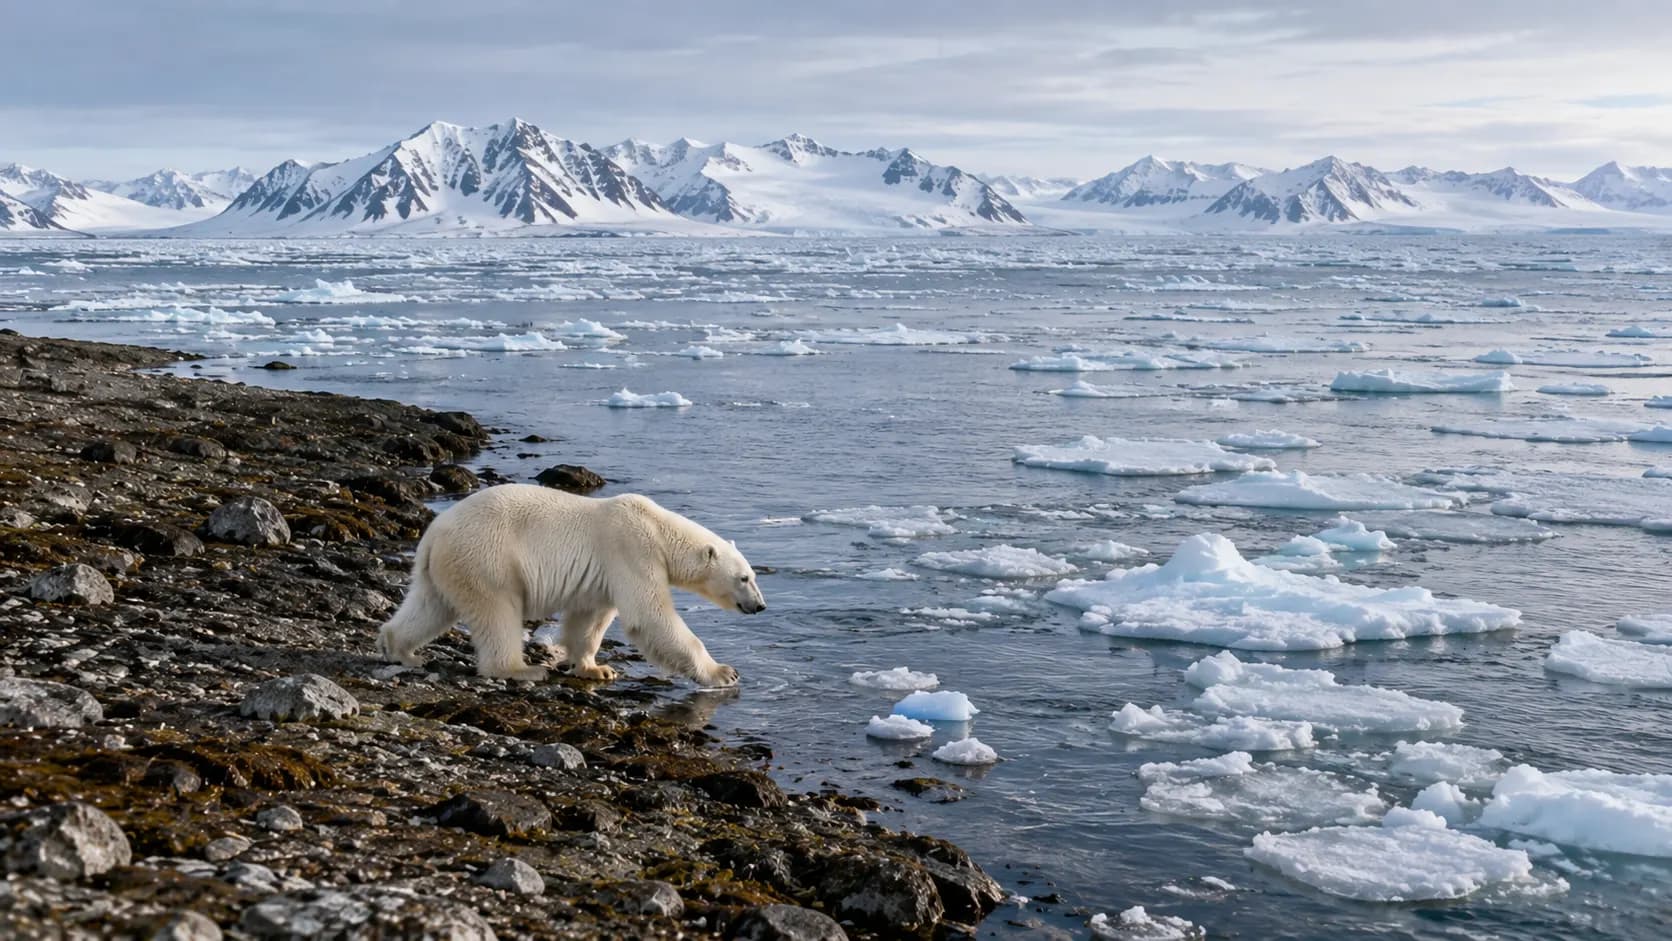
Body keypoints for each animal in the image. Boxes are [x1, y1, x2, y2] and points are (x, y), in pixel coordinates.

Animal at [376, 484, 765, 685]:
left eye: (753, 576)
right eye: (744, 577)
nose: (760, 606)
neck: (658, 528)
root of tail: (433, 533)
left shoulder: (602, 576)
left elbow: (589, 619)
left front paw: (597, 668)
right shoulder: (632, 550)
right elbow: (650, 615)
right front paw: (723, 673)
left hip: (446, 567)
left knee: (430, 606)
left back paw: (401, 650)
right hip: (487, 558)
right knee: (498, 611)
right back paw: (521, 668)